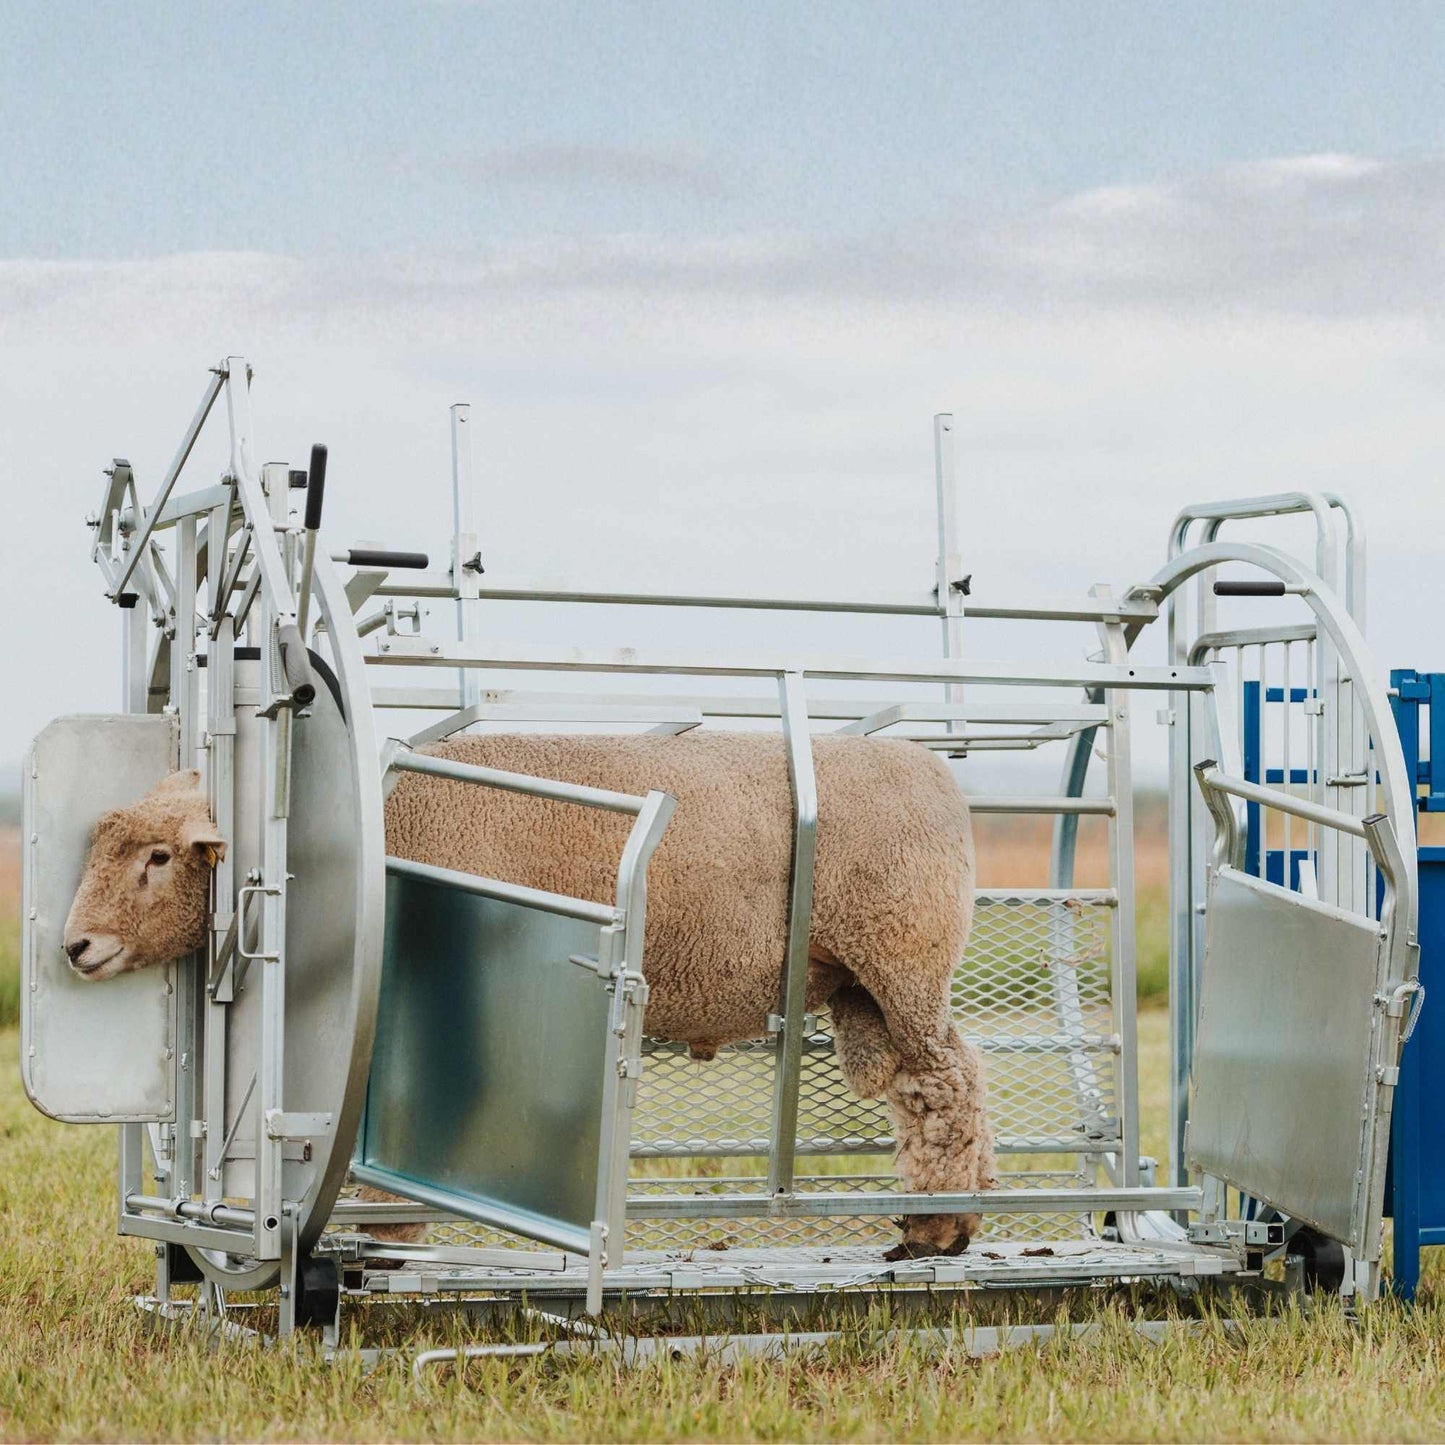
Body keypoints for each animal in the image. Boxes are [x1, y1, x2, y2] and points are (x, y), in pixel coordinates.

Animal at [63, 734, 994, 1259]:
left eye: (158, 856)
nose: (74, 946)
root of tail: (940, 775)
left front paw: (384, 1232)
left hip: (902, 953)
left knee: (949, 1079)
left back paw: (940, 1227)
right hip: (861, 982)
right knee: (926, 1084)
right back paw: (941, 1221)